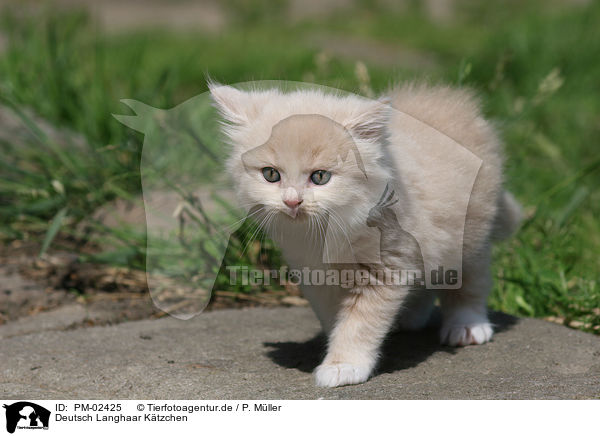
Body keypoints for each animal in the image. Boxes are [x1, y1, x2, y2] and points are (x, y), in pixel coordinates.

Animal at [210, 80, 520, 386]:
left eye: (320, 177)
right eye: (271, 175)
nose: (292, 202)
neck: (325, 235)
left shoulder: (387, 265)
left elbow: (358, 323)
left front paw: (343, 365)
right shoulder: (315, 274)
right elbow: (335, 317)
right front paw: (336, 346)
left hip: (471, 231)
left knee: (470, 280)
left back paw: (467, 326)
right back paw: (409, 318)